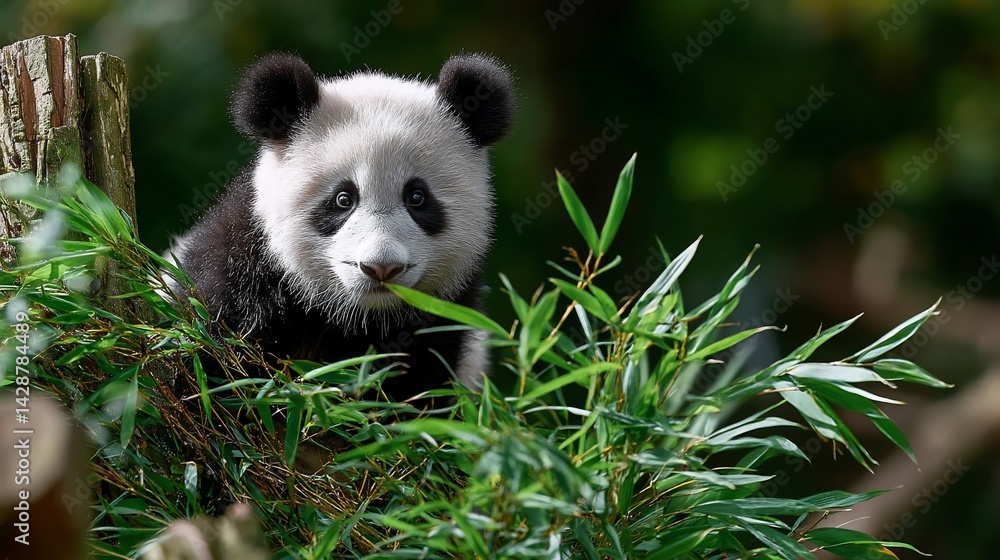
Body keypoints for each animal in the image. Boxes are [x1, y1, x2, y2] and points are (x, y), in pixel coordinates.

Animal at [166, 53, 515, 402]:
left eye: (417, 197)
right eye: (343, 199)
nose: (381, 269)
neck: (355, 315)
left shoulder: (445, 312)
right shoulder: (238, 272)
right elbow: (212, 358)